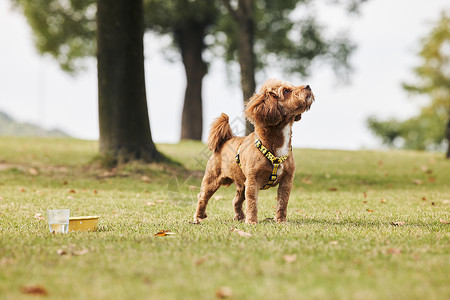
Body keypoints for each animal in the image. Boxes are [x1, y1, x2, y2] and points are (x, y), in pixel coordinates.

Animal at [192, 78, 312, 224]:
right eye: (286, 91)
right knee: (202, 196)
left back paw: (239, 217)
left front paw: (280, 220)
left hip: (242, 184)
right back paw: (199, 217)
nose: (308, 86)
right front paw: (252, 222)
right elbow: (252, 203)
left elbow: (282, 202)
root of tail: (224, 141)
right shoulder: (252, 181)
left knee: (236, 201)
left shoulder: (287, 180)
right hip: (212, 179)